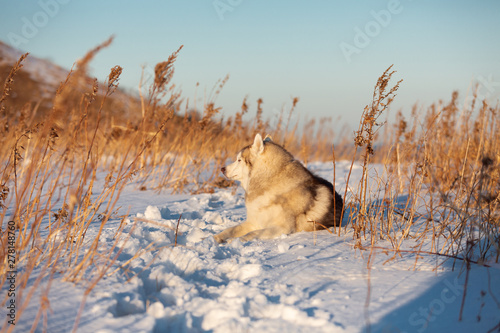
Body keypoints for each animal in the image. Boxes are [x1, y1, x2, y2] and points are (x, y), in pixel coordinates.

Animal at [215, 134, 344, 243]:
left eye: (239, 160)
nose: (222, 169)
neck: (269, 181)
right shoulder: (253, 222)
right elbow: (231, 229)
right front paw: (216, 237)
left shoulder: (282, 227)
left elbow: (252, 233)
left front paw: (234, 241)